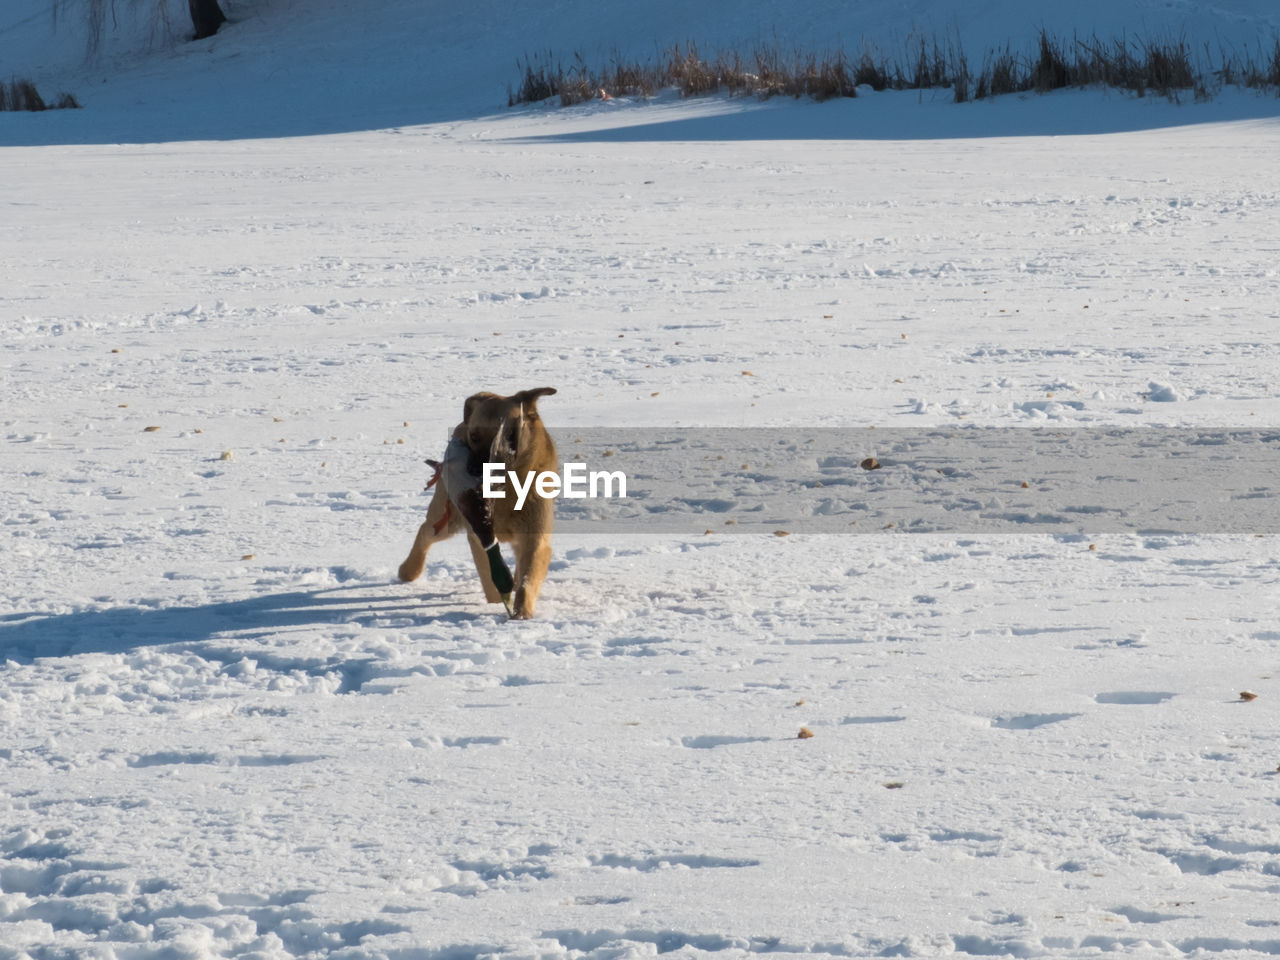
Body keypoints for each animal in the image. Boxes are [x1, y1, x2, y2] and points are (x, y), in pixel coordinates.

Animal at [396, 386, 558, 619]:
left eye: (508, 434)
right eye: (473, 436)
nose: (474, 471)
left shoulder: (534, 537)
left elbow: (528, 577)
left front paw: (521, 611)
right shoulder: (477, 535)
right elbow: (488, 573)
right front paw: (497, 602)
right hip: (449, 517)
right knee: (426, 531)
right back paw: (409, 570)